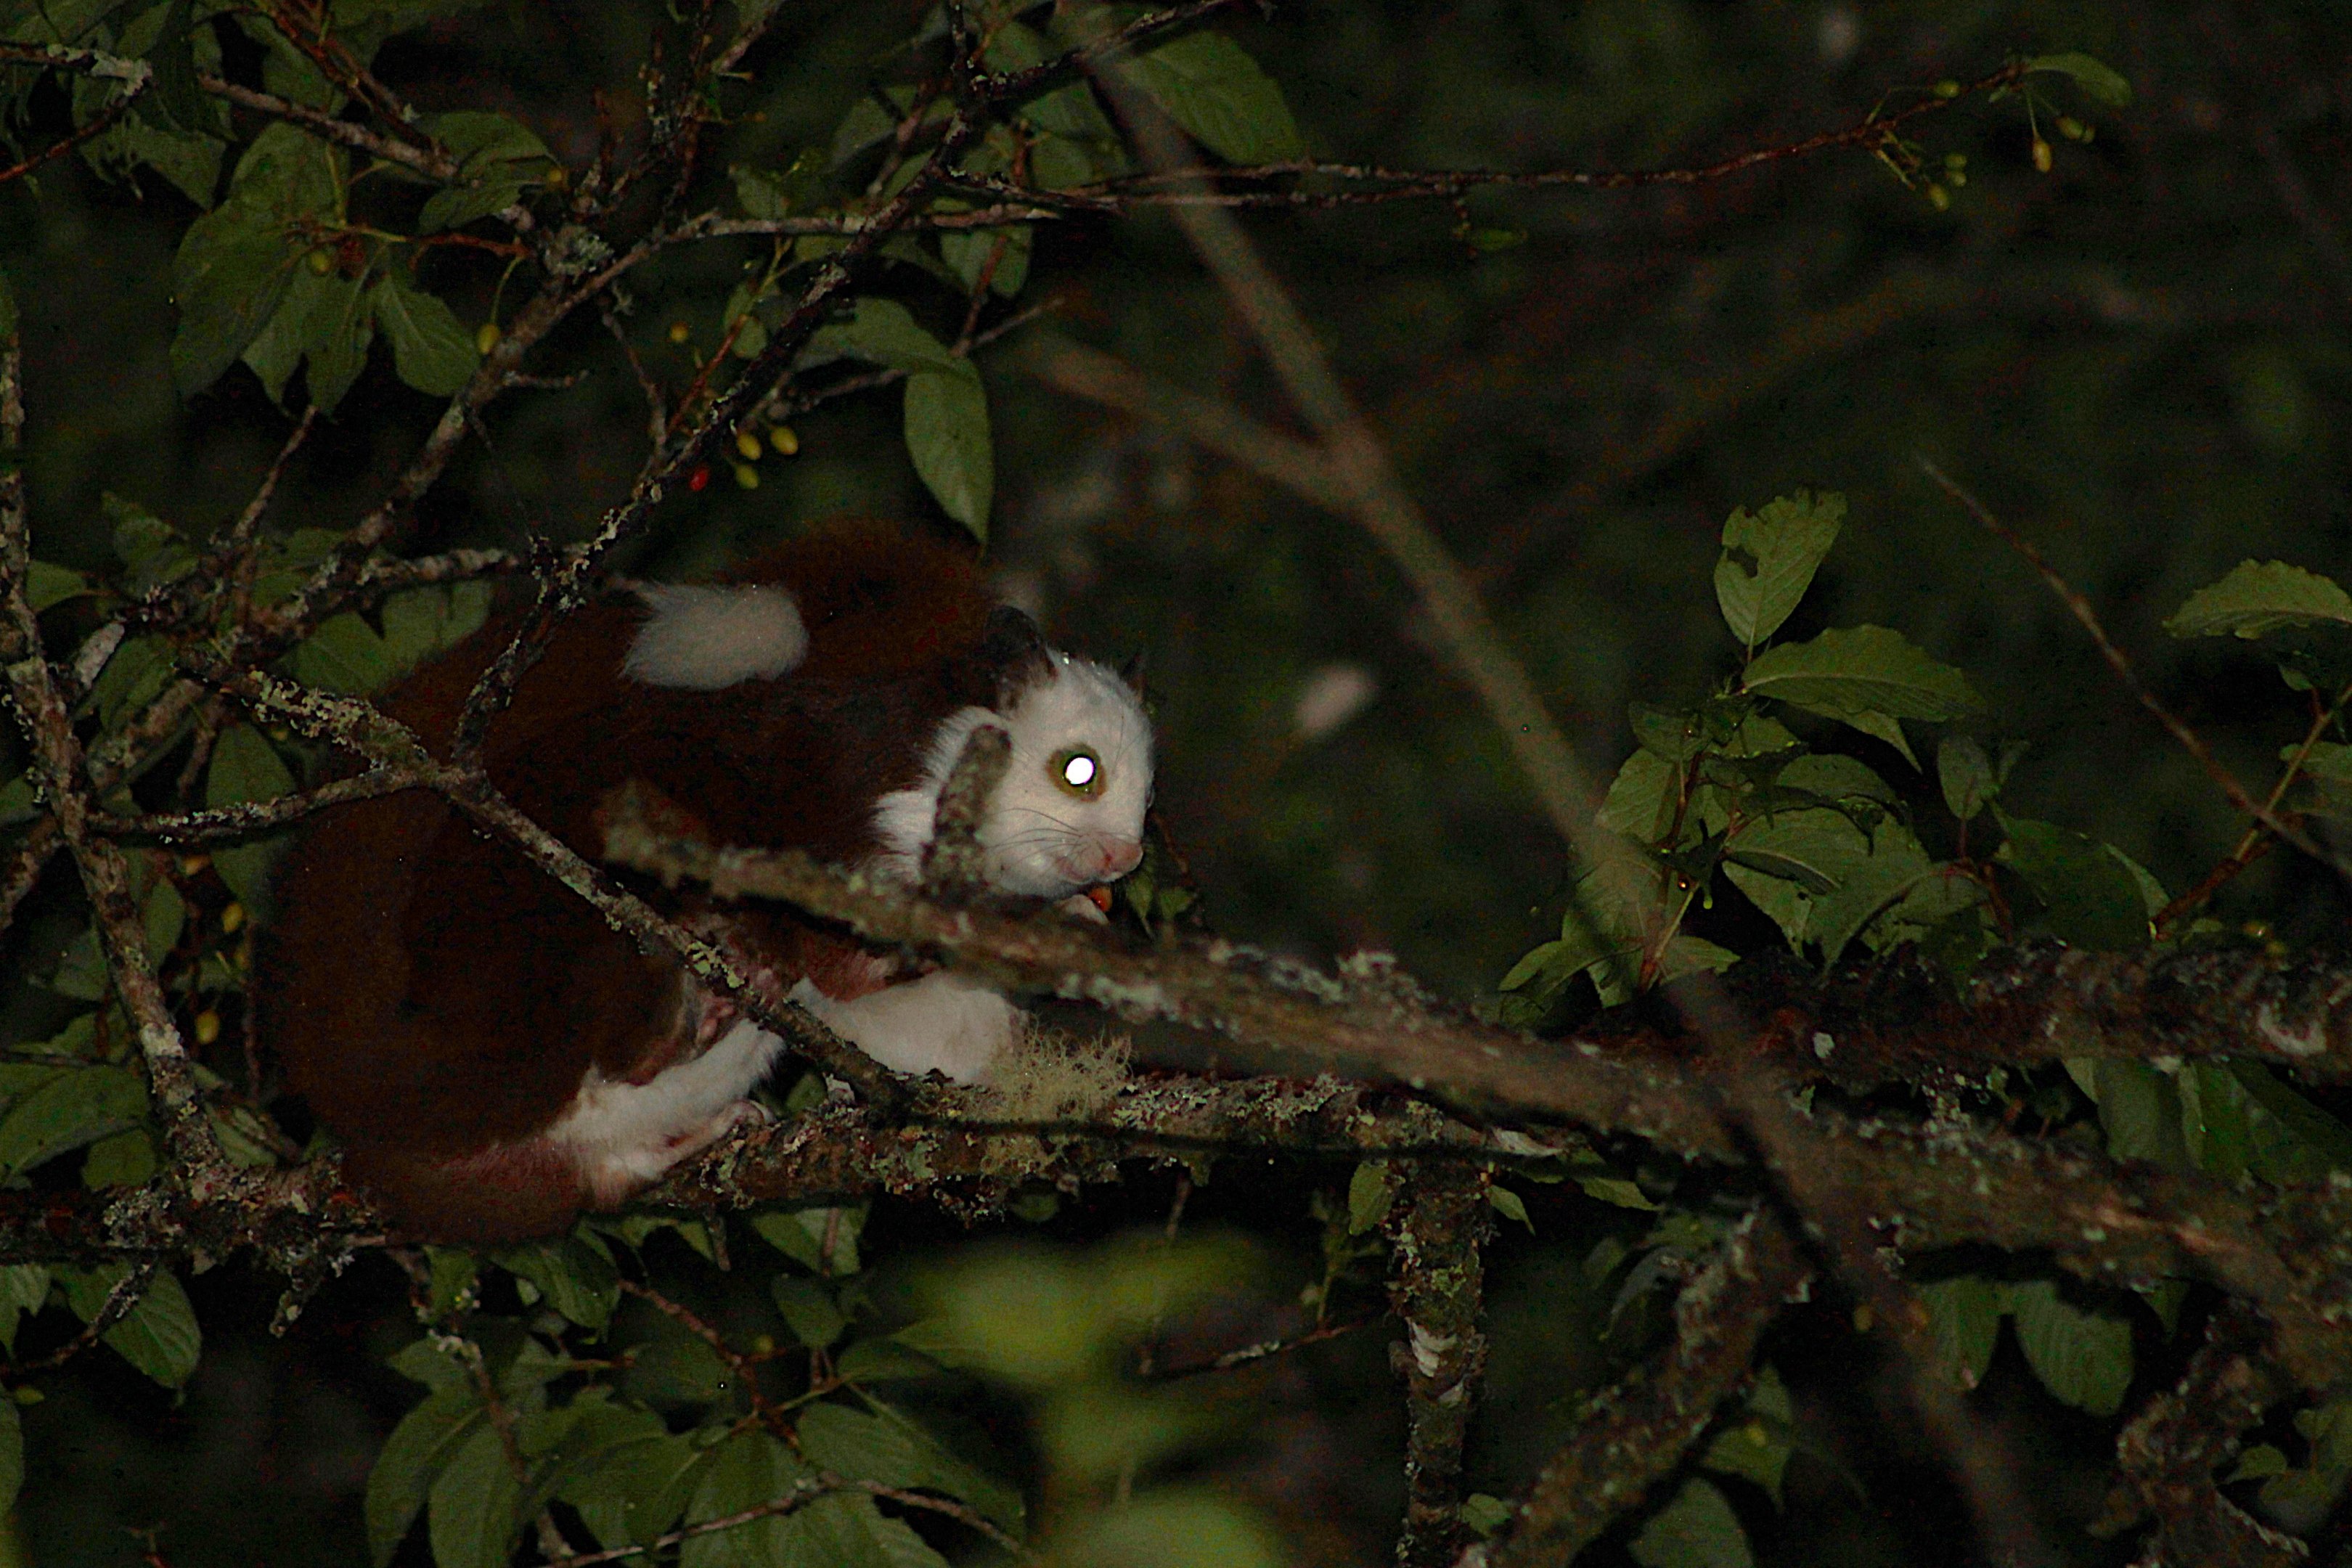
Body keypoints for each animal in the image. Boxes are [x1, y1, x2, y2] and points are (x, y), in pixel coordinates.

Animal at [255, 522, 1154, 1243]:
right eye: (1079, 772)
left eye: (1148, 801)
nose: (1122, 861)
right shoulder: (854, 829)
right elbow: (858, 961)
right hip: (538, 969)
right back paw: (676, 1014)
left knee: (605, 1170)